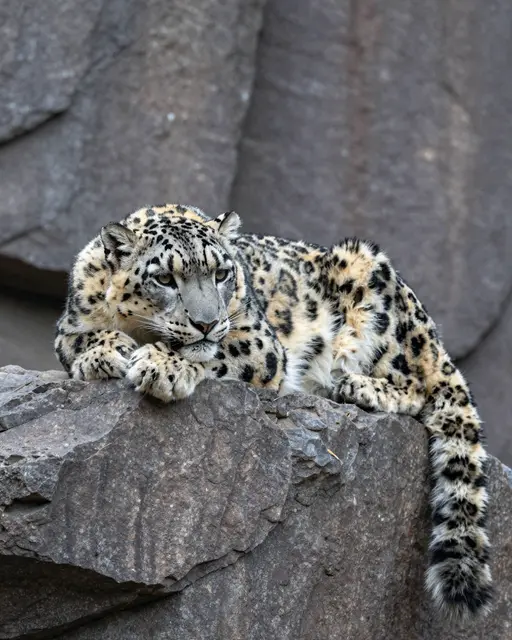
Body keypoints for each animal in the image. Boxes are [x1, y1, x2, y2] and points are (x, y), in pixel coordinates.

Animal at [55, 203, 492, 620]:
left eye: (221, 273)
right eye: (164, 278)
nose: (207, 322)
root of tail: (431, 335)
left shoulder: (258, 343)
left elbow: (211, 353)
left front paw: (162, 365)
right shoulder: (69, 327)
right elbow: (79, 339)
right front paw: (102, 354)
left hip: (372, 288)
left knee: (419, 387)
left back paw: (354, 386)